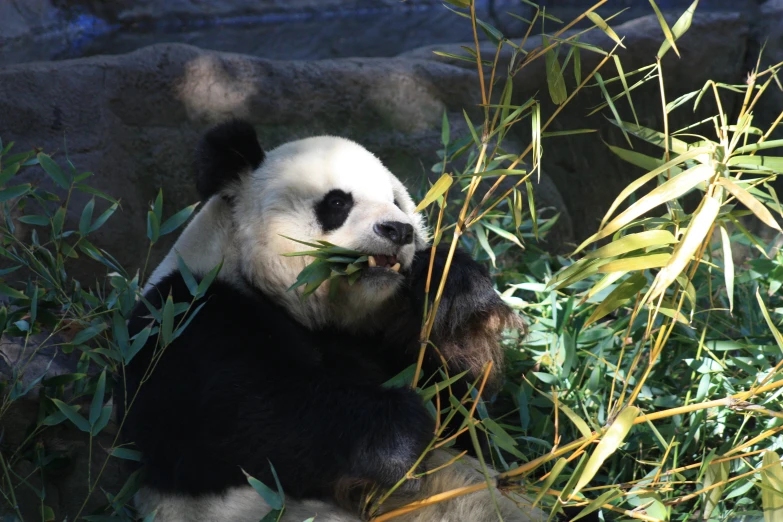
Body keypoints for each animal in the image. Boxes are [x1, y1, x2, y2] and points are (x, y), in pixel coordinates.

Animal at [124, 119, 544, 520]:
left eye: (397, 201)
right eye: (338, 202)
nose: (398, 230)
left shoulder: (377, 339)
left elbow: (464, 420)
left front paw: (455, 289)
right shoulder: (189, 317)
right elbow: (248, 419)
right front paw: (399, 435)